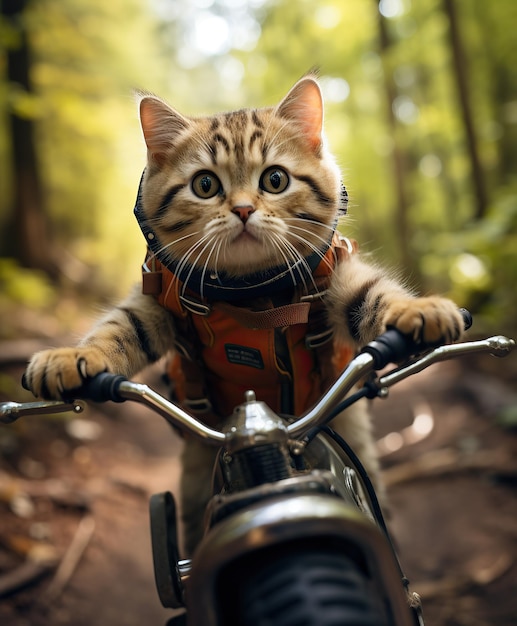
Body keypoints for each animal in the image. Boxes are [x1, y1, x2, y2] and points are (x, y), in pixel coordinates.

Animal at [23, 74, 464, 556]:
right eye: (204, 185)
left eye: (275, 179)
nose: (243, 209)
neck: (252, 294)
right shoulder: (154, 301)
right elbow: (117, 329)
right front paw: (70, 358)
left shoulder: (338, 280)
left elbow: (375, 295)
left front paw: (420, 309)